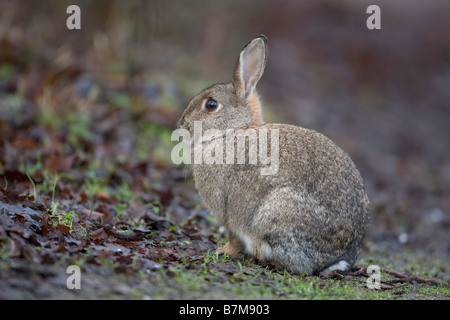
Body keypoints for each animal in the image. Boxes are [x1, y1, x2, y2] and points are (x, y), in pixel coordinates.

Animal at [178, 34, 370, 276]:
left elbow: (234, 239)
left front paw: (221, 251)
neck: (233, 131)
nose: (182, 124)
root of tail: (339, 258)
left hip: (276, 212)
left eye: (211, 105)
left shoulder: (229, 212)